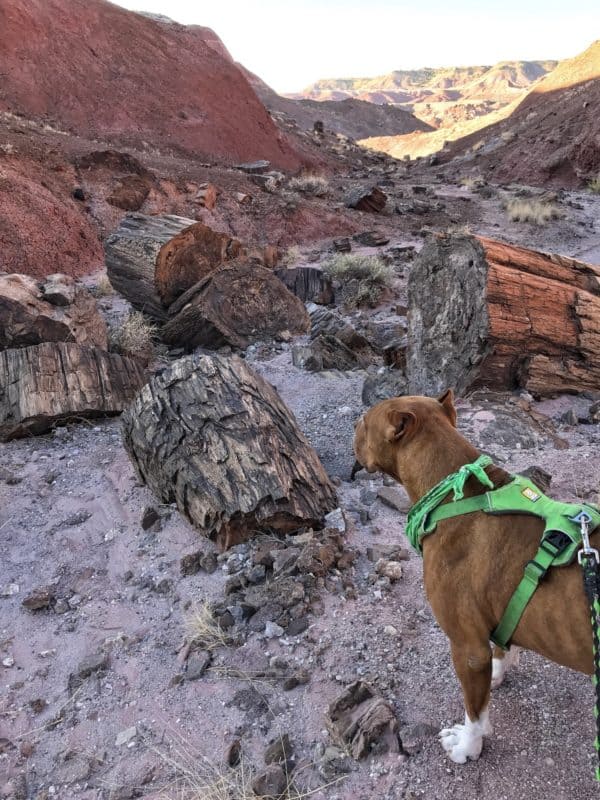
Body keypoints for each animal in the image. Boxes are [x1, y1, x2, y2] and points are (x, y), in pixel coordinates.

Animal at [354, 390, 592, 764]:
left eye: (364, 421)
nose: (353, 426)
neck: (455, 494)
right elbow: (501, 649)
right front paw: (499, 669)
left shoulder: (467, 648)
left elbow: (475, 712)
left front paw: (468, 745)